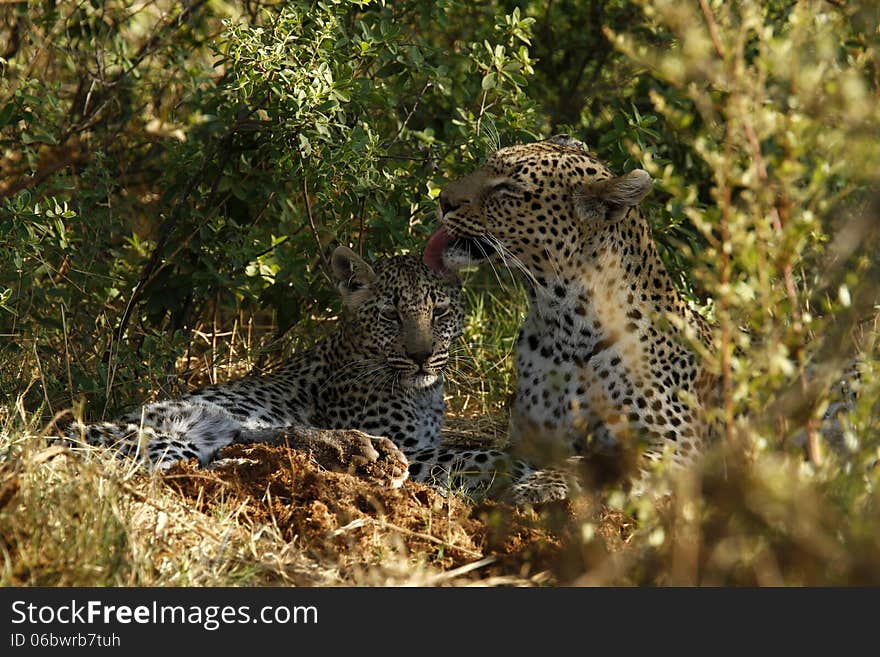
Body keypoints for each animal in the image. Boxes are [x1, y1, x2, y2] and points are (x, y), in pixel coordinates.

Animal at [422, 136, 716, 480]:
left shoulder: (676, 448)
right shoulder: (528, 441)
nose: (442, 199)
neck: (561, 326)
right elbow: (481, 456)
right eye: (485, 165)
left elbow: (585, 467)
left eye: (509, 189)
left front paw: (536, 484)